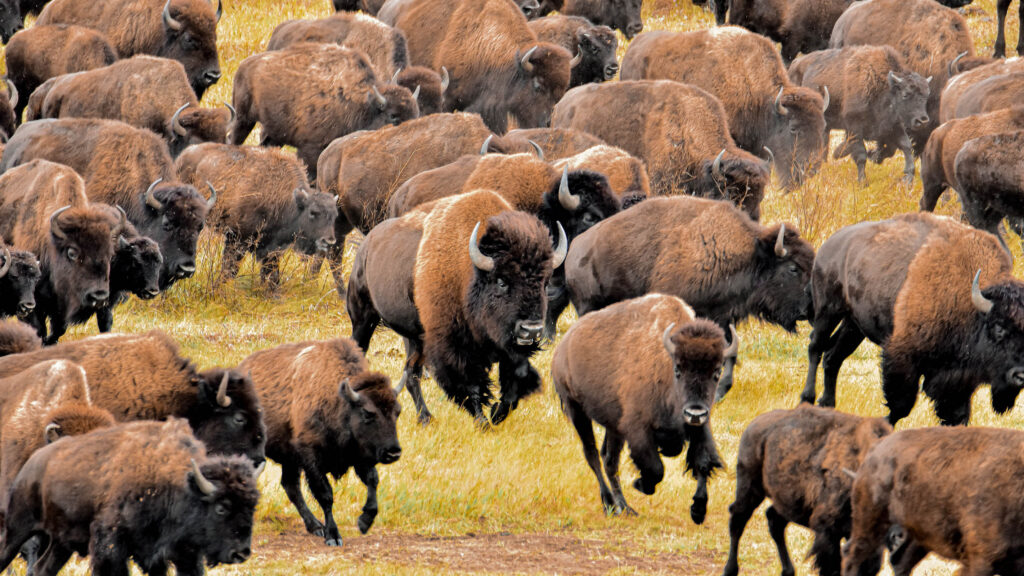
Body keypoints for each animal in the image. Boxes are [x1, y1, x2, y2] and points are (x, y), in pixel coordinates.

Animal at [239, 339, 401, 546]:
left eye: (398, 411)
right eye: (367, 413)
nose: (393, 452)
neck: (340, 401)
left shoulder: (361, 457)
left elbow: (372, 481)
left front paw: (364, 522)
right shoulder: (311, 458)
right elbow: (326, 495)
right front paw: (333, 536)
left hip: (289, 459)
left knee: (290, 486)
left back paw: (315, 526)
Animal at [552, 294, 727, 520]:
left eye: (717, 371)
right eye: (678, 369)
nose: (694, 413)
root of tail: (561, 348)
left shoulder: (699, 428)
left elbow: (703, 462)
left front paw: (698, 509)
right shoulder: (637, 429)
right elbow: (655, 468)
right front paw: (640, 484)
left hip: (613, 425)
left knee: (608, 460)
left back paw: (624, 507)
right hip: (577, 410)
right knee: (593, 456)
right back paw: (610, 504)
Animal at [565, 196, 815, 400]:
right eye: (793, 268)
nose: (810, 309)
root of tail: (574, 249)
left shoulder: (722, 318)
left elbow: (729, 353)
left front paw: (720, 391)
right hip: (587, 306)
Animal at [803, 212, 1024, 426]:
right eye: (999, 328)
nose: (1020, 375)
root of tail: (830, 243)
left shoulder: (960, 380)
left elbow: (956, 415)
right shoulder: (903, 355)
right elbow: (901, 406)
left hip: (854, 325)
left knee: (833, 357)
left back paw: (827, 404)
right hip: (828, 310)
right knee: (816, 347)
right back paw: (808, 398)